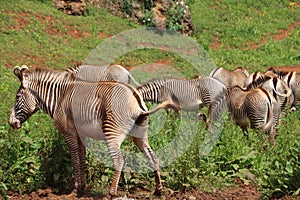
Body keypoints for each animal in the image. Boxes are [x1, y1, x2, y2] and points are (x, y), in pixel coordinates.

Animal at [8, 65, 178, 197]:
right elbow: (82, 160)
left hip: (112, 133)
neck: (60, 97)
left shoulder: (69, 133)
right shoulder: (81, 135)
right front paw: (82, 189)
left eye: (17, 97)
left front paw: (75, 190)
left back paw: (111, 193)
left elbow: (75, 160)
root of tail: (135, 98)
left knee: (119, 160)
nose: (11, 123)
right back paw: (158, 190)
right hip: (140, 135)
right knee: (153, 157)